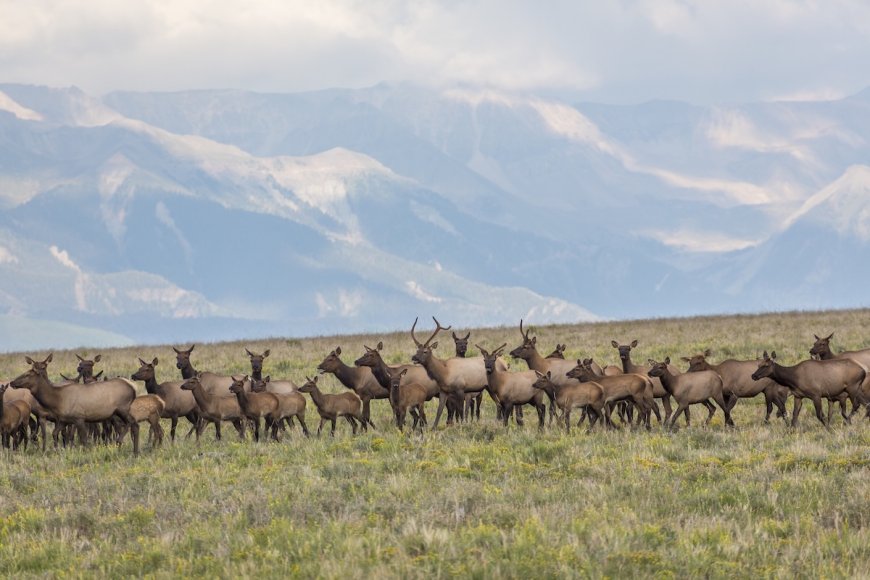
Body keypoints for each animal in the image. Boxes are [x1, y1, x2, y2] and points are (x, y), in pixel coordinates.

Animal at [9, 362, 141, 454]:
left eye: (27, 374)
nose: (11, 382)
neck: (57, 400)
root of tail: (133, 387)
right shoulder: (64, 420)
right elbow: (55, 433)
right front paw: (57, 451)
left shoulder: (79, 418)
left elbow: (84, 440)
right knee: (134, 425)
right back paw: (135, 452)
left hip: (122, 408)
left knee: (132, 423)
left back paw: (121, 442)